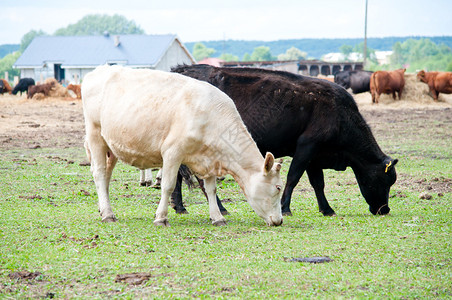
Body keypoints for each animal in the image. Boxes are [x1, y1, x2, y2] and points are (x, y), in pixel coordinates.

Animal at [81, 64, 282, 226]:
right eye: (278, 187)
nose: (279, 220)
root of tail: (100, 70)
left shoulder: (209, 158)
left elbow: (211, 188)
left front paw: (217, 217)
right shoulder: (172, 152)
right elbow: (168, 185)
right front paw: (161, 218)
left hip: (111, 147)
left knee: (106, 176)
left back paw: (103, 208)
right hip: (95, 136)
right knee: (99, 173)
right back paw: (108, 214)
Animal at [171, 64, 398, 217]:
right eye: (386, 180)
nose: (384, 209)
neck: (340, 114)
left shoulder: (315, 155)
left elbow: (318, 183)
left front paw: (326, 209)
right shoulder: (307, 146)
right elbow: (293, 177)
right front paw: (285, 207)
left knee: (178, 174)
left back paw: (180, 206)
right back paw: (219, 207)